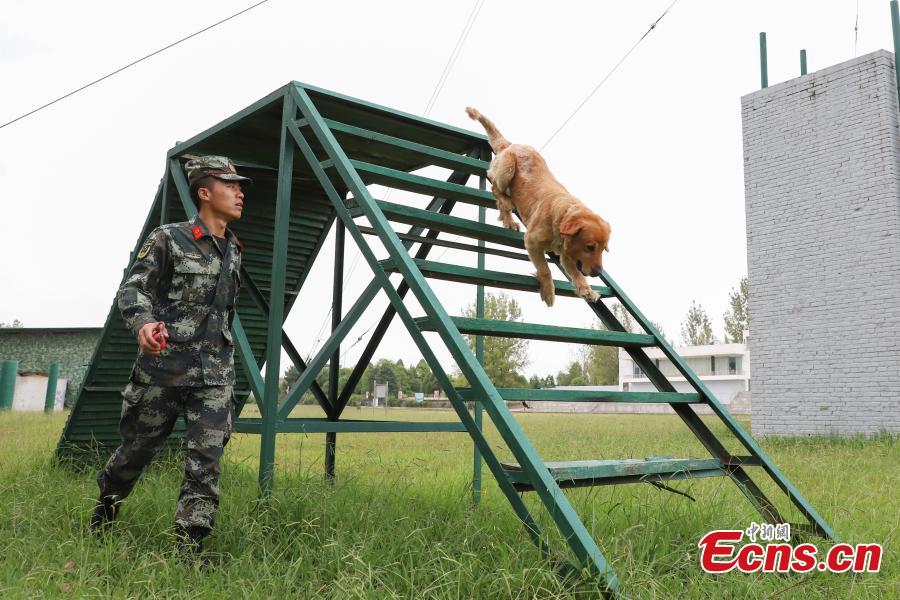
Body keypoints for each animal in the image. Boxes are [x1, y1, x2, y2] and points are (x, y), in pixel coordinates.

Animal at [464, 105, 612, 308]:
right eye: (590, 247)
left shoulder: (567, 254)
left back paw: (509, 221)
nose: (598, 273)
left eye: (603, 248)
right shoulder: (532, 242)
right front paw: (549, 292)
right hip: (507, 167)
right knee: (494, 186)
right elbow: (545, 269)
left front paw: (586, 289)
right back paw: (508, 202)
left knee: (501, 204)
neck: (559, 219)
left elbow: (577, 274)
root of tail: (510, 144)